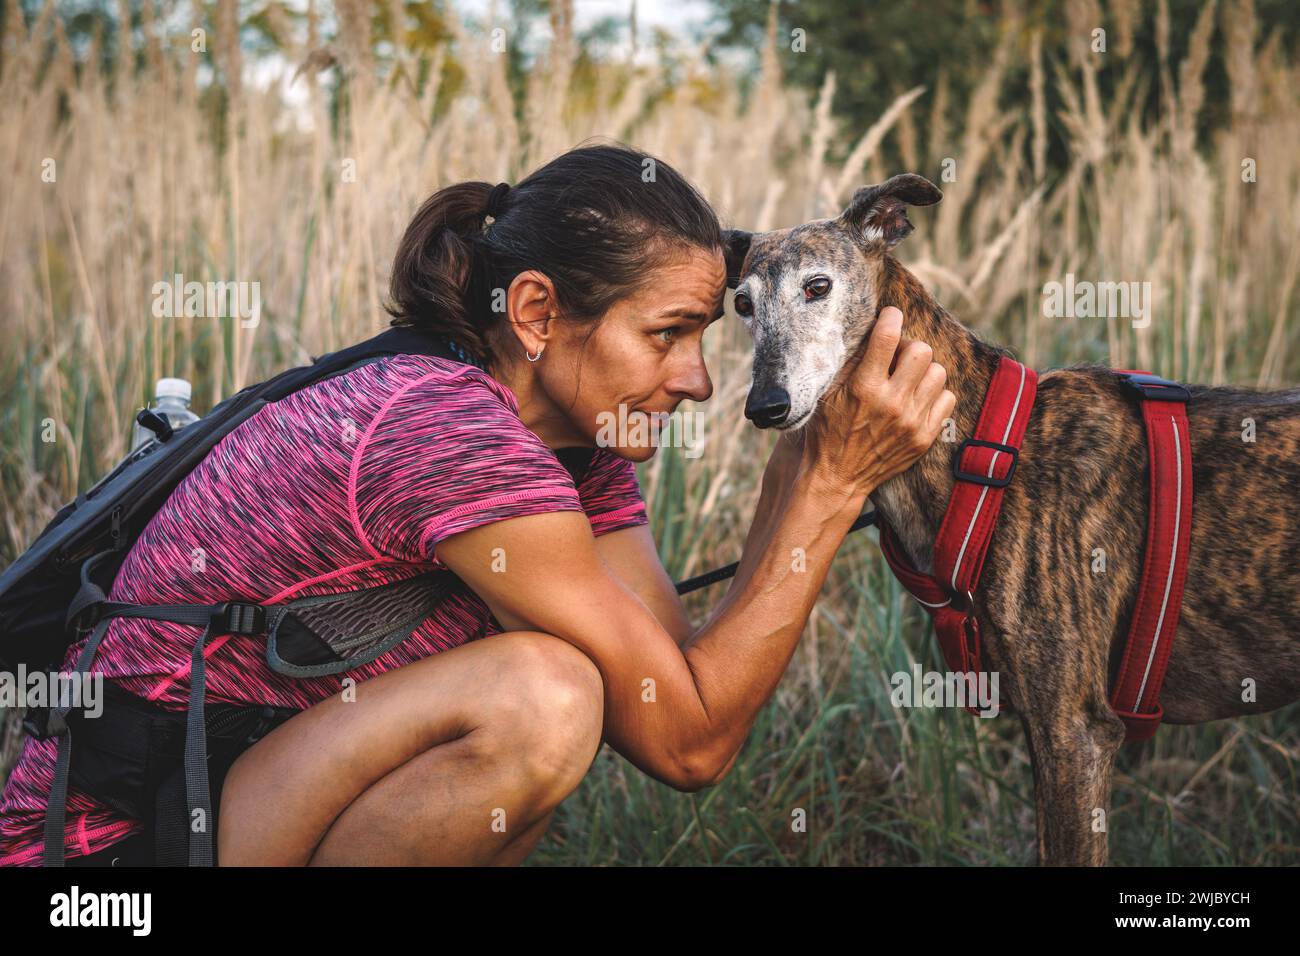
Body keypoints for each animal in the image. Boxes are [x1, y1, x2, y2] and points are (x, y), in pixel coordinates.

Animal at [722, 174, 1300, 868]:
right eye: (742, 304)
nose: (765, 406)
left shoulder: (1074, 730)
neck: (988, 447)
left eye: (817, 286)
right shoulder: (1043, 726)